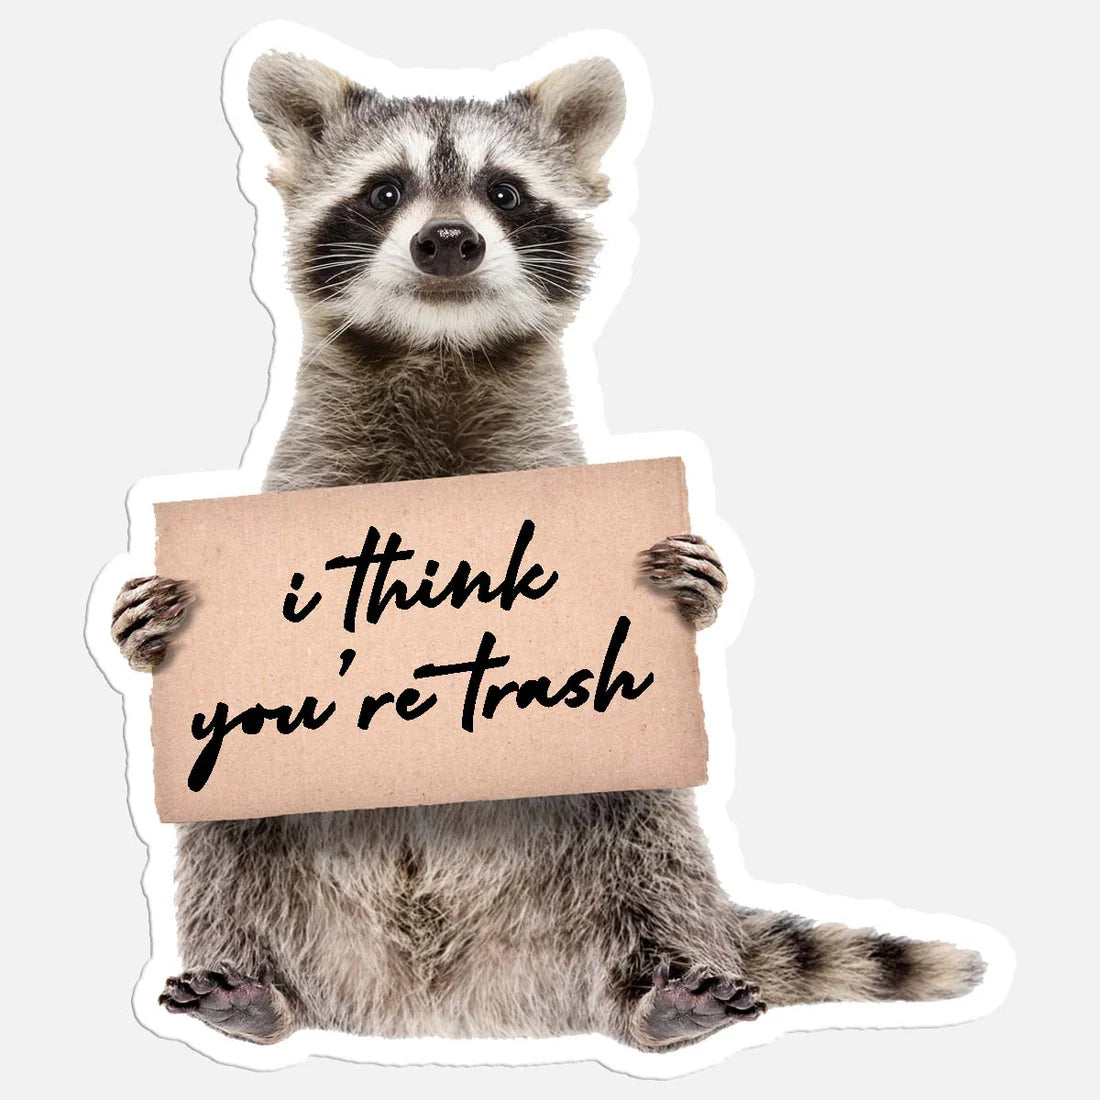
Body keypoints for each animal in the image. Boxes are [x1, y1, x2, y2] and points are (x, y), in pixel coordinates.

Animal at [109, 53, 984, 1051]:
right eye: (384, 190)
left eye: (504, 191)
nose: (449, 241)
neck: (438, 350)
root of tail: (438, 1004)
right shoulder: (309, 470)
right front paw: (141, 624)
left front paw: (703, 588)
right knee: (229, 836)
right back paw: (255, 991)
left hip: (618, 859)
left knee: (653, 834)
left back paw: (659, 992)